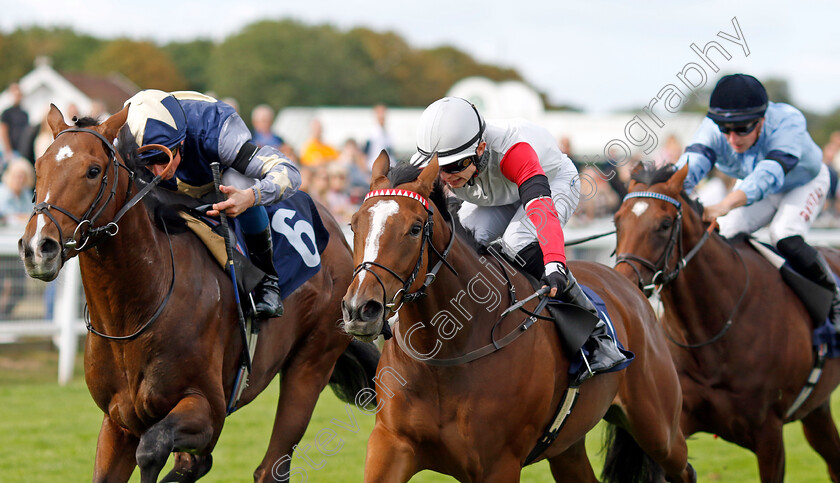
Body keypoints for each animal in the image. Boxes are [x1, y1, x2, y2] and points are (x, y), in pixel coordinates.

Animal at [17, 106, 378, 483]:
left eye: (93, 170)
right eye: (39, 166)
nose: (37, 247)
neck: (132, 313)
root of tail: (337, 232)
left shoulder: (207, 409)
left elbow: (153, 448)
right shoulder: (119, 422)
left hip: (310, 365)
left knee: (269, 468)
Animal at [338, 154, 692, 483]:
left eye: (414, 229)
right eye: (354, 224)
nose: (360, 309)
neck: (443, 354)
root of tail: (628, 284)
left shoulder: (499, 464)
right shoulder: (391, 444)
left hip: (658, 428)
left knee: (683, 468)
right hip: (567, 448)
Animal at [612, 164, 840, 483]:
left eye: (665, 224)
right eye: (617, 221)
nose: (625, 280)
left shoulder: (769, 434)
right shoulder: (673, 425)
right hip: (816, 410)